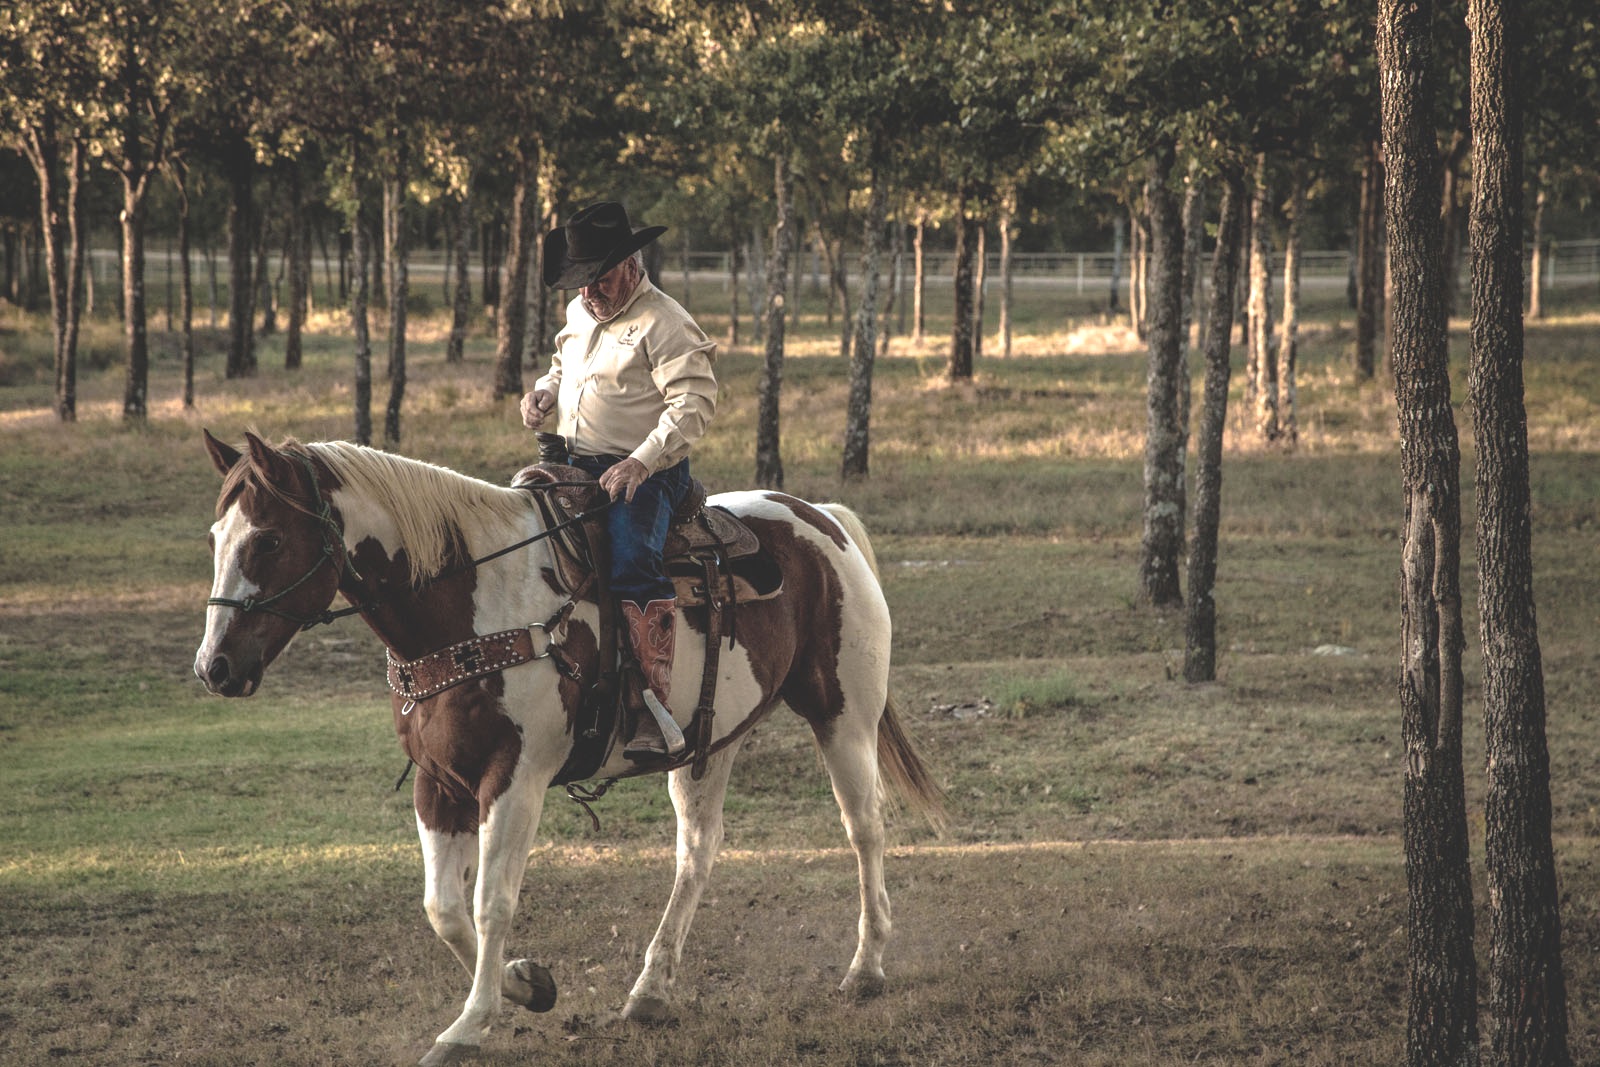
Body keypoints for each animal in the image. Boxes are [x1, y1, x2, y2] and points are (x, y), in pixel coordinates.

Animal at [193, 435, 940, 1067]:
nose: (214, 667)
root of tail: (820, 518)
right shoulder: (440, 783)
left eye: (268, 538)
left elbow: (492, 901)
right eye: (214, 537)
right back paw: (651, 990)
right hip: (711, 740)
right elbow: (443, 908)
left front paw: (469, 1025)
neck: (474, 608)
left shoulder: (514, 779)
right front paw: (528, 983)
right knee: (698, 850)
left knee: (863, 828)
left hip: (843, 715)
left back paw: (866, 967)